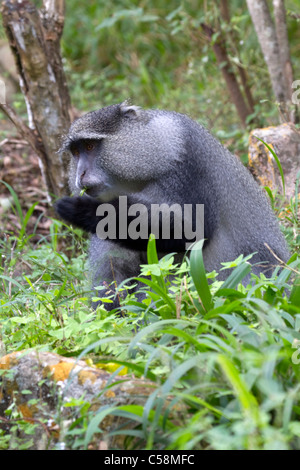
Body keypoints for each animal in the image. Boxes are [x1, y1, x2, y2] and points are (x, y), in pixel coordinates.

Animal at [54, 102, 290, 308]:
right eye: (76, 152)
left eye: (90, 145)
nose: (80, 174)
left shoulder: (186, 159)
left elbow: (194, 230)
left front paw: (82, 210)